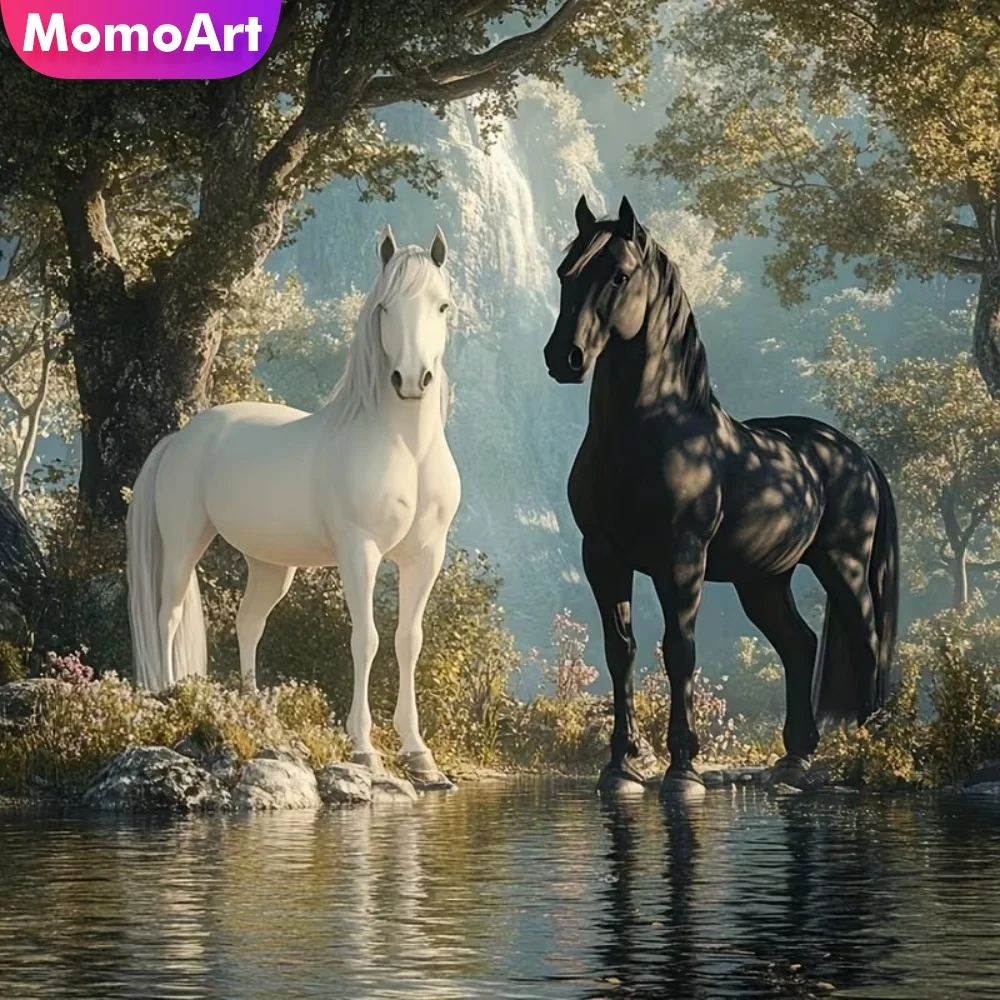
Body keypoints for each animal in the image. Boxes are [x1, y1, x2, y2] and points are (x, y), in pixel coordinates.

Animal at [126, 225, 461, 790]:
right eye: (385, 307)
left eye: (442, 305)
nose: (412, 380)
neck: (405, 449)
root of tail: (181, 437)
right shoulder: (360, 553)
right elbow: (366, 639)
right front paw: (365, 747)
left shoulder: (425, 557)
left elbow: (408, 640)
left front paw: (419, 754)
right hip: (183, 543)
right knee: (167, 614)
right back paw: (171, 694)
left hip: (270, 566)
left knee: (248, 623)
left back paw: (254, 709)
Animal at [544, 195, 899, 799]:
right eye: (567, 272)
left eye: (618, 276)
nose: (563, 357)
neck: (648, 433)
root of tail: (856, 455)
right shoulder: (604, 557)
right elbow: (621, 650)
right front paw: (621, 765)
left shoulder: (681, 561)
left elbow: (679, 650)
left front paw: (682, 768)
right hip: (763, 580)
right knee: (800, 645)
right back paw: (795, 759)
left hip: (844, 566)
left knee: (866, 643)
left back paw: (870, 753)